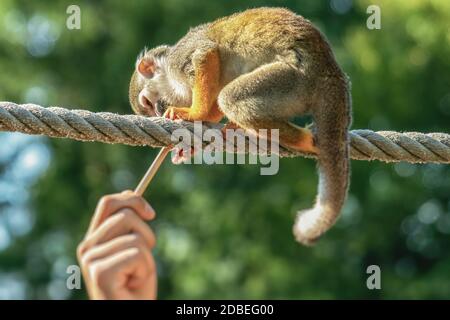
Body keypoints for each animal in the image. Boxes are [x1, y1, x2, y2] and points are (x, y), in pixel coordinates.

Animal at [128, 7, 354, 245]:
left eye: (148, 103)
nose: (157, 111)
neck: (168, 73)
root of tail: (330, 70)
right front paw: (191, 140)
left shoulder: (178, 60)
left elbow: (205, 55)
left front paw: (195, 113)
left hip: (295, 79)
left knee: (230, 98)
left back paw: (304, 140)